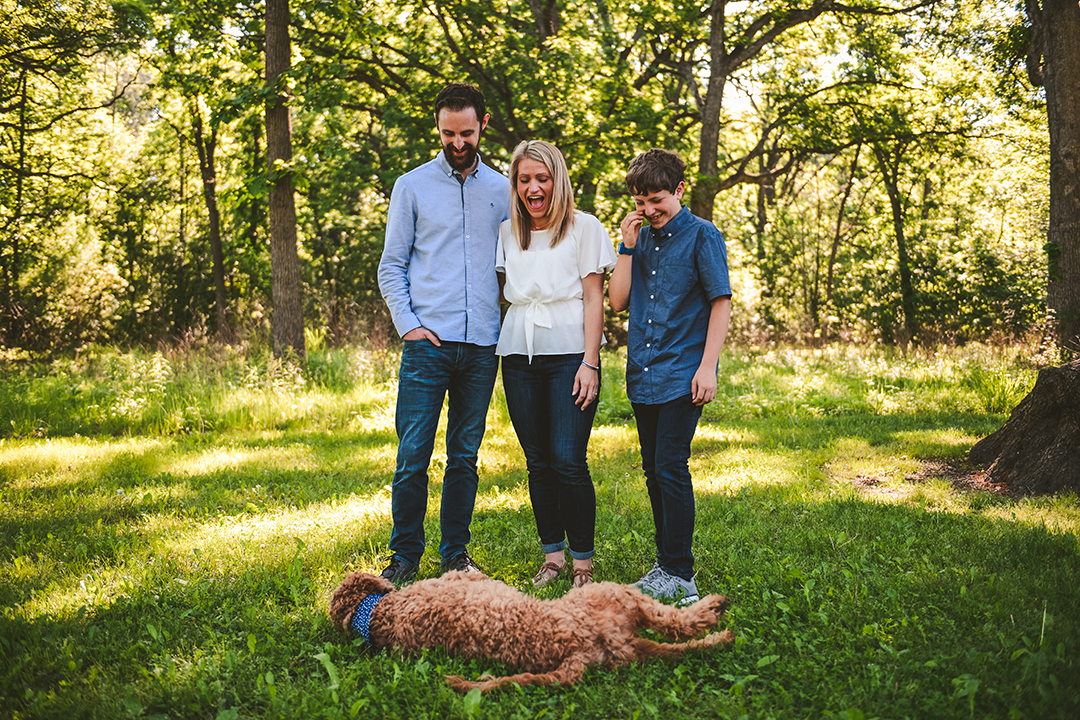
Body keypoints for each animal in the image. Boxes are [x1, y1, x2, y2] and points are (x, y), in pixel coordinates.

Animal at [326, 569, 734, 690]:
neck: (375, 613)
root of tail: (580, 652)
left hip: (635, 645)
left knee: (678, 647)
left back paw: (721, 638)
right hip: (620, 596)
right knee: (676, 624)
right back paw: (714, 610)